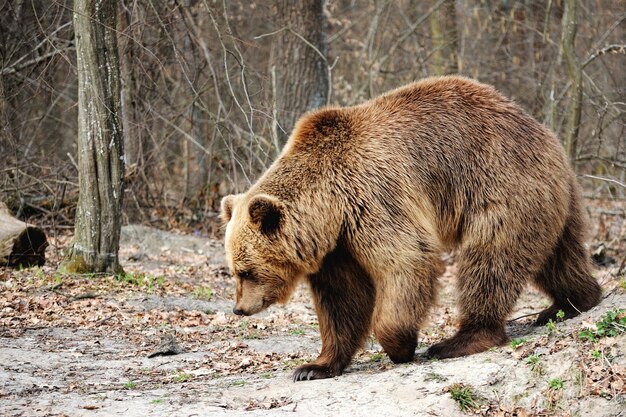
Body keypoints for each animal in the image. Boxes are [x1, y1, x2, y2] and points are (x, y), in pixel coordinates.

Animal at [219, 75, 600, 380]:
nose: (239, 308)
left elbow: (406, 260)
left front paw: (401, 345)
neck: (329, 207)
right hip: (549, 199)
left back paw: (461, 339)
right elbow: (341, 301)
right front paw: (314, 366)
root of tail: (545, 133)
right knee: (559, 255)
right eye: (235, 271)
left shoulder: (372, 197)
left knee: (490, 260)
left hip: (501, 185)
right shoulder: (337, 247)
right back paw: (572, 301)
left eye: (246, 271)